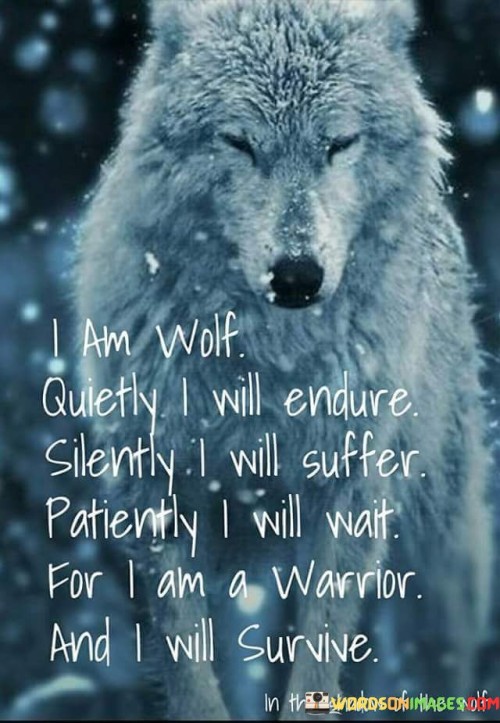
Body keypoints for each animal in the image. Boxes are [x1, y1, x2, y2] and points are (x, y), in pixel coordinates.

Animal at [78, 0, 492, 719]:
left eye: (340, 143)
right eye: (240, 142)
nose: (296, 275)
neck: (267, 368)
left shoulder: (349, 495)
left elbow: (317, 667)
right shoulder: (157, 492)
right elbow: (190, 667)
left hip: (435, 557)